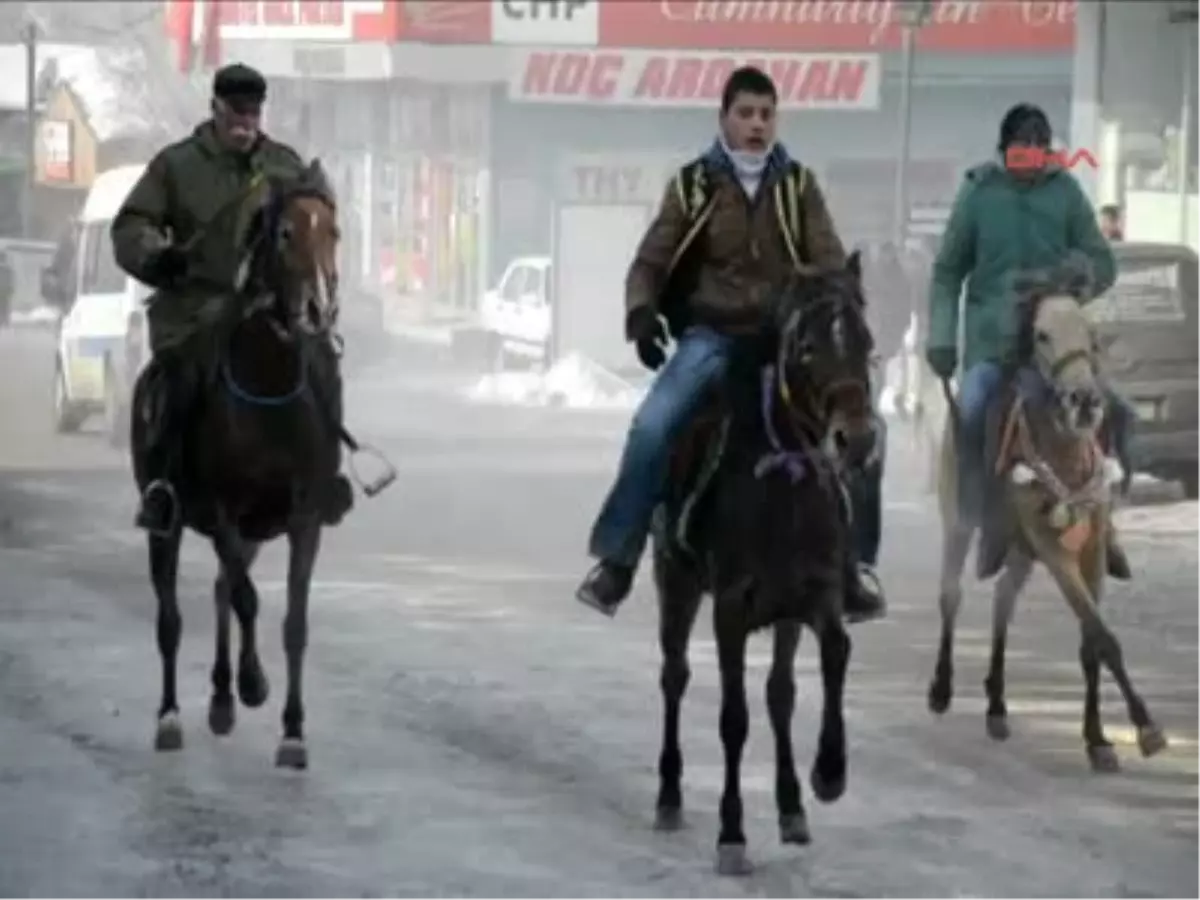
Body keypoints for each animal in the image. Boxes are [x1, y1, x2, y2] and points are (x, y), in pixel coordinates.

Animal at [132, 160, 384, 768]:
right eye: (286, 233)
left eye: (334, 232)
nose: (319, 312)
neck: (268, 389)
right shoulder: (224, 512)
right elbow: (247, 599)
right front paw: (253, 685)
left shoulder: (304, 518)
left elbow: (293, 620)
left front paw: (292, 730)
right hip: (167, 526)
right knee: (173, 616)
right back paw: (173, 715)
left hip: (253, 531)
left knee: (222, 587)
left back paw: (222, 699)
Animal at [652, 250, 878, 878]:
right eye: (807, 348)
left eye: (867, 342)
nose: (857, 440)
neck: (783, 480)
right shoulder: (731, 604)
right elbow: (734, 717)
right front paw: (731, 834)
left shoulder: (816, 593)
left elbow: (835, 653)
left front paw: (828, 773)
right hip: (674, 579)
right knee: (675, 675)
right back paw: (669, 796)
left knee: (780, 694)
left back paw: (791, 807)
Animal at [921, 260, 1166, 777]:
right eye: (1041, 334)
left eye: (1091, 333)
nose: (1084, 401)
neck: (1065, 455)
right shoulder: (1054, 550)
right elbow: (1101, 636)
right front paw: (1144, 727)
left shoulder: (1090, 546)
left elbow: (1091, 643)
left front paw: (1099, 739)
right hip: (962, 520)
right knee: (951, 596)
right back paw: (941, 689)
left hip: (1020, 549)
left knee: (1002, 602)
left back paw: (997, 707)